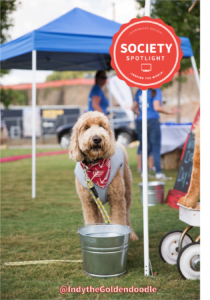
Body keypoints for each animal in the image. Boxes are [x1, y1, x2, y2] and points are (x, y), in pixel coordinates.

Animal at [69, 110, 138, 241]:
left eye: (101, 126)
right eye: (86, 128)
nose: (96, 138)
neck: (95, 165)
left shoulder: (117, 200)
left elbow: (119, 221)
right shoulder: (88, 203)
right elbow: (92, 222)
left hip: (127, 191)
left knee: (127, 215)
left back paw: (132, 235)